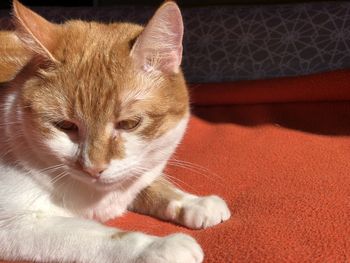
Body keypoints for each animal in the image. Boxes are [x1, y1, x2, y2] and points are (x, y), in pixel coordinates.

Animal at [0, 1, 231, 262]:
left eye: (129, 124)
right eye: (66, 126)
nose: (94, 168)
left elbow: (152, 183)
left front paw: (195, 202)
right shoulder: (15, 224)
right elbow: (98, 236)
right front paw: (158, 245)